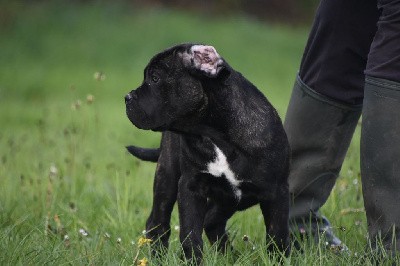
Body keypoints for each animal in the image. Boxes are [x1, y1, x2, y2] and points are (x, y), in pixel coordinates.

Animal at [126, 43, 290, 262]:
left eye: (155, 78)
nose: (127, 97)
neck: (214, 135)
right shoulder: (190, 187)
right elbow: (190, 233)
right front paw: (192, 260)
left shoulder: (277, 192)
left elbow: (277, 235)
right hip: (167, 177)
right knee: (158, 222)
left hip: (232, 199)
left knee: (212, 220)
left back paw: (230, 257)